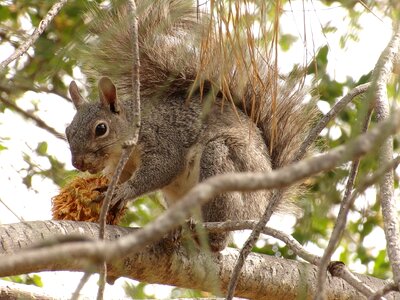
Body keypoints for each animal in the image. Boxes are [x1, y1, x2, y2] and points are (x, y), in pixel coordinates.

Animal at [65, 0, 316, 252]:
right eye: (67, 131)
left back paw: (210, 236)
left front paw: (124, 191)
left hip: (223, 165)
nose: (78, 163)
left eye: (101, 129)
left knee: (220, 233)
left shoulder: (163, 140)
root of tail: (264, 201)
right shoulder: (123, 165)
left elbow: (162, 168)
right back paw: (177, 228)